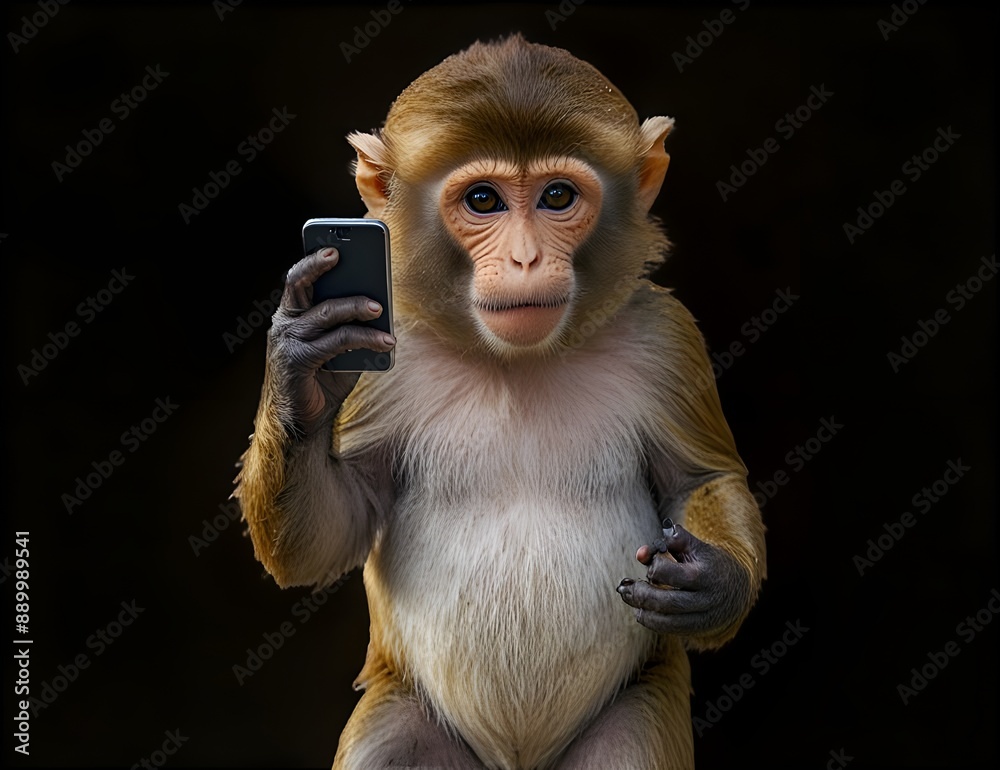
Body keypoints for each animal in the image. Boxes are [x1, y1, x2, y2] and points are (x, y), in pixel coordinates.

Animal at [235, 34, 766, 770]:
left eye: (557, 195)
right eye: (484, 199)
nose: (524, 259)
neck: (514, 364)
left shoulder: (664, 335)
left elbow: (701, 479)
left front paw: (715, 584)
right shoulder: (391, 366)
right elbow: (334, 530)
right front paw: (302, 367)